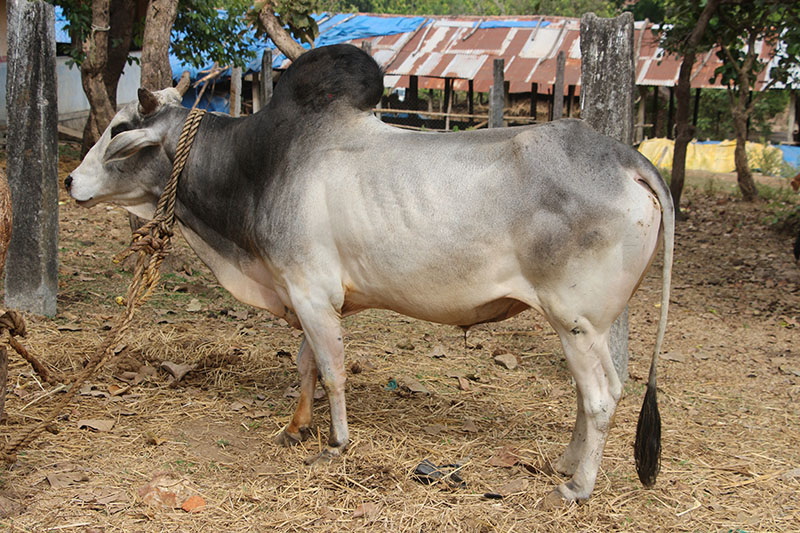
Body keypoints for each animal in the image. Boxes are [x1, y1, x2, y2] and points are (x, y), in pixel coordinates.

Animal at [65, 43, 672, 500]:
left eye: (119, 128)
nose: (71, 181)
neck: (258, 164)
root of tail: (628, 159)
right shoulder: (305, 292)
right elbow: (307, 365)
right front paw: (295, 429)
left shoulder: (310, 292)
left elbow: (332, 370)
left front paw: (335, 442)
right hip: (584, 326)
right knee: (591, 395)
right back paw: (564, 464)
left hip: (577, 321)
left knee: (600, 397)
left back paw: (577, 487)